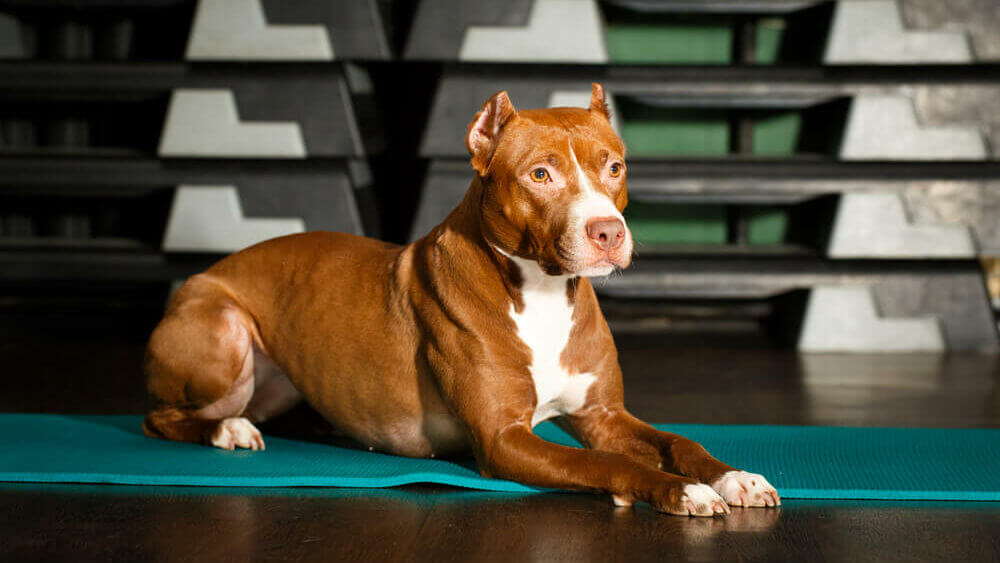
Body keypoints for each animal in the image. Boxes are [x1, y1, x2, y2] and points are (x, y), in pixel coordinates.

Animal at [143, 83, 780, 520]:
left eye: (615, 167)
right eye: (540, 175)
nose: (607, 231)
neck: (541, 293)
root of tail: (207, 272)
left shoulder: (602, 415)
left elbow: (677, 440)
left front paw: (732, 477)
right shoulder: (503, 440)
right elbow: (606, 462)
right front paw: (677, 490)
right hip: (223, 331)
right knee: (162, 418)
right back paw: (226, 431)